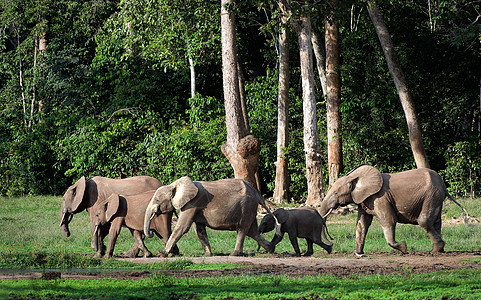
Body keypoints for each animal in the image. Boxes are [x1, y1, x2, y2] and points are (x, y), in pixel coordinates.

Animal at [142, 177, 278, 256]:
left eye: (157, 199)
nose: (151, 233)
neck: (175, 185)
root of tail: (256, 193)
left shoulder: (192, 204)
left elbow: (182, 227)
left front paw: (162, 253)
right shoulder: (195, 207)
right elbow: (199, 230)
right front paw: (208, 254)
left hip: (247, 206)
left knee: (242, 229)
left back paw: (234, 254)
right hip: (250, 208)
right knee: (252, 231)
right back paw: (271, 249)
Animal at [316, 165, 466, 256]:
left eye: (336, 193)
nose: (332, 243)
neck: (355, 177)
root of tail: (443, 185)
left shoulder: (380, 198)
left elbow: (388, 220)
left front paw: (404, 248)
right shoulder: (364, 200)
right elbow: (362, 224)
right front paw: (359, 254)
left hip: (432, 195)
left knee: (424, 221)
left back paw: (433, 251)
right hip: (436, 197)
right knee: (436, 222)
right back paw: (440, 251)